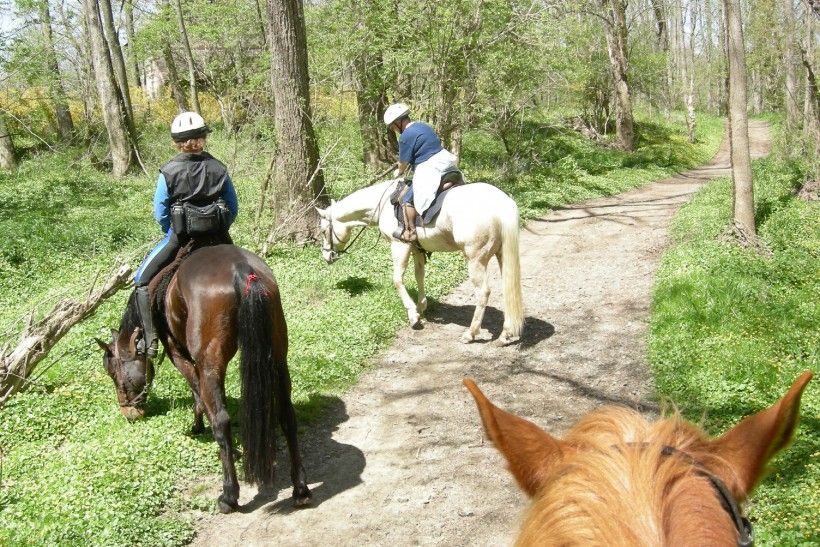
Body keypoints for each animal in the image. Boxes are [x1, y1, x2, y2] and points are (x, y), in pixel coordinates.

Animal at [96, 244, 312, 512]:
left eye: (113, 372)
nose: (128, 412)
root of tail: (241, 270)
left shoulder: (177, 353)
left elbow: (196, 391)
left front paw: (199, 426)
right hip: (277, 357)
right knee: (286, 415)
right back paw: (300, 489)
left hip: (210, 363)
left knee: (221, 420)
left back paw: (229, 496)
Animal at [318, 179, 524, 342]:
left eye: (323, 230)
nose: (327, 255)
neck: (383, 205)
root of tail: (502, 204)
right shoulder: (416, 248)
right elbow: (419, 276)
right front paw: (421, 307)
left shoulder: (400, 245)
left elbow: (397, 279)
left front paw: (413, 315)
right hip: (501, 255)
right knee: (508, 287)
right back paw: (506, 333)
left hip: (475, 260)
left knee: (483, 293)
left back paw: (470, 334)